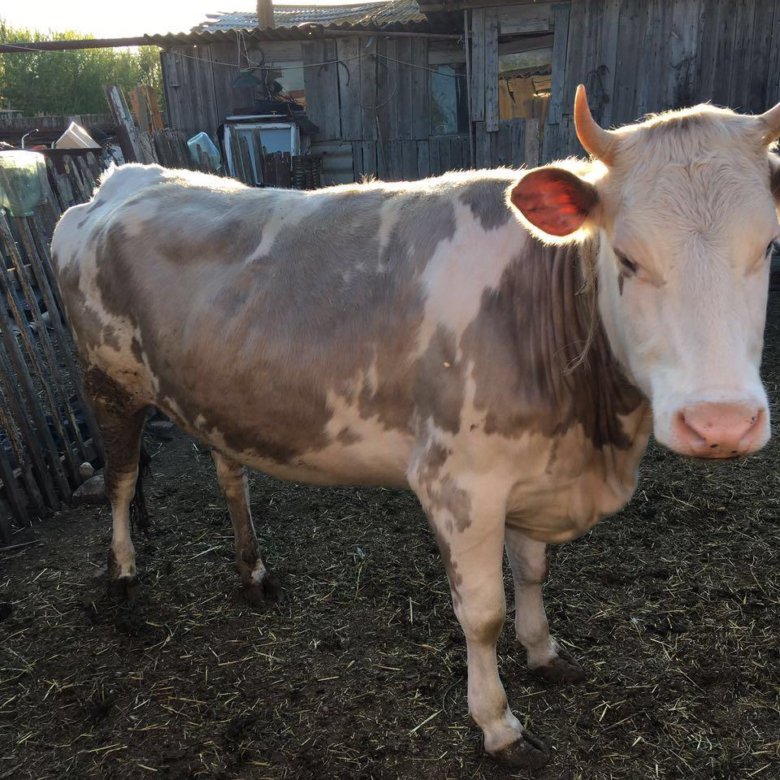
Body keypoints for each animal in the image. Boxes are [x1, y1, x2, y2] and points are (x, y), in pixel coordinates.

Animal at [50, 85, 779, 769]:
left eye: (770, 246)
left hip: (210, 392)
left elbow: (533, 571)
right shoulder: (461, 482)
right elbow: (482, 614)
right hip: (107, 379)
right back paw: (122, 576)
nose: (720, 421)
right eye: (626, 258)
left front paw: (544, 651)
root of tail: (126, 180)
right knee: (120, 480)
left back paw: (252, 571)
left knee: (230, 474)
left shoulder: (531, 468)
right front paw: (498, 726)